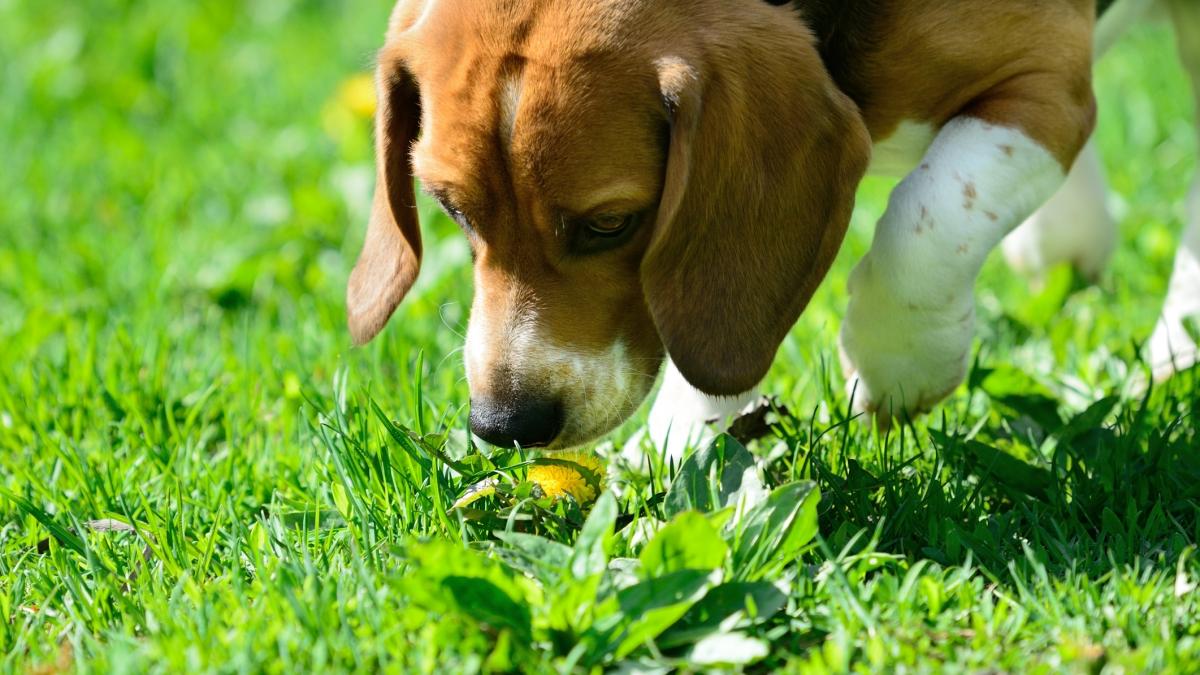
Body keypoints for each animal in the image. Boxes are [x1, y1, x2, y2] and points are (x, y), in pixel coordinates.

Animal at [345, 0, 1200, 456]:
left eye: (610, 223)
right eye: (453, 209)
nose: (506, 424)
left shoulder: (1046, 85)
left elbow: (923, 222)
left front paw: (898, 368)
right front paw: (684, 449)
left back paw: (1175, 350)